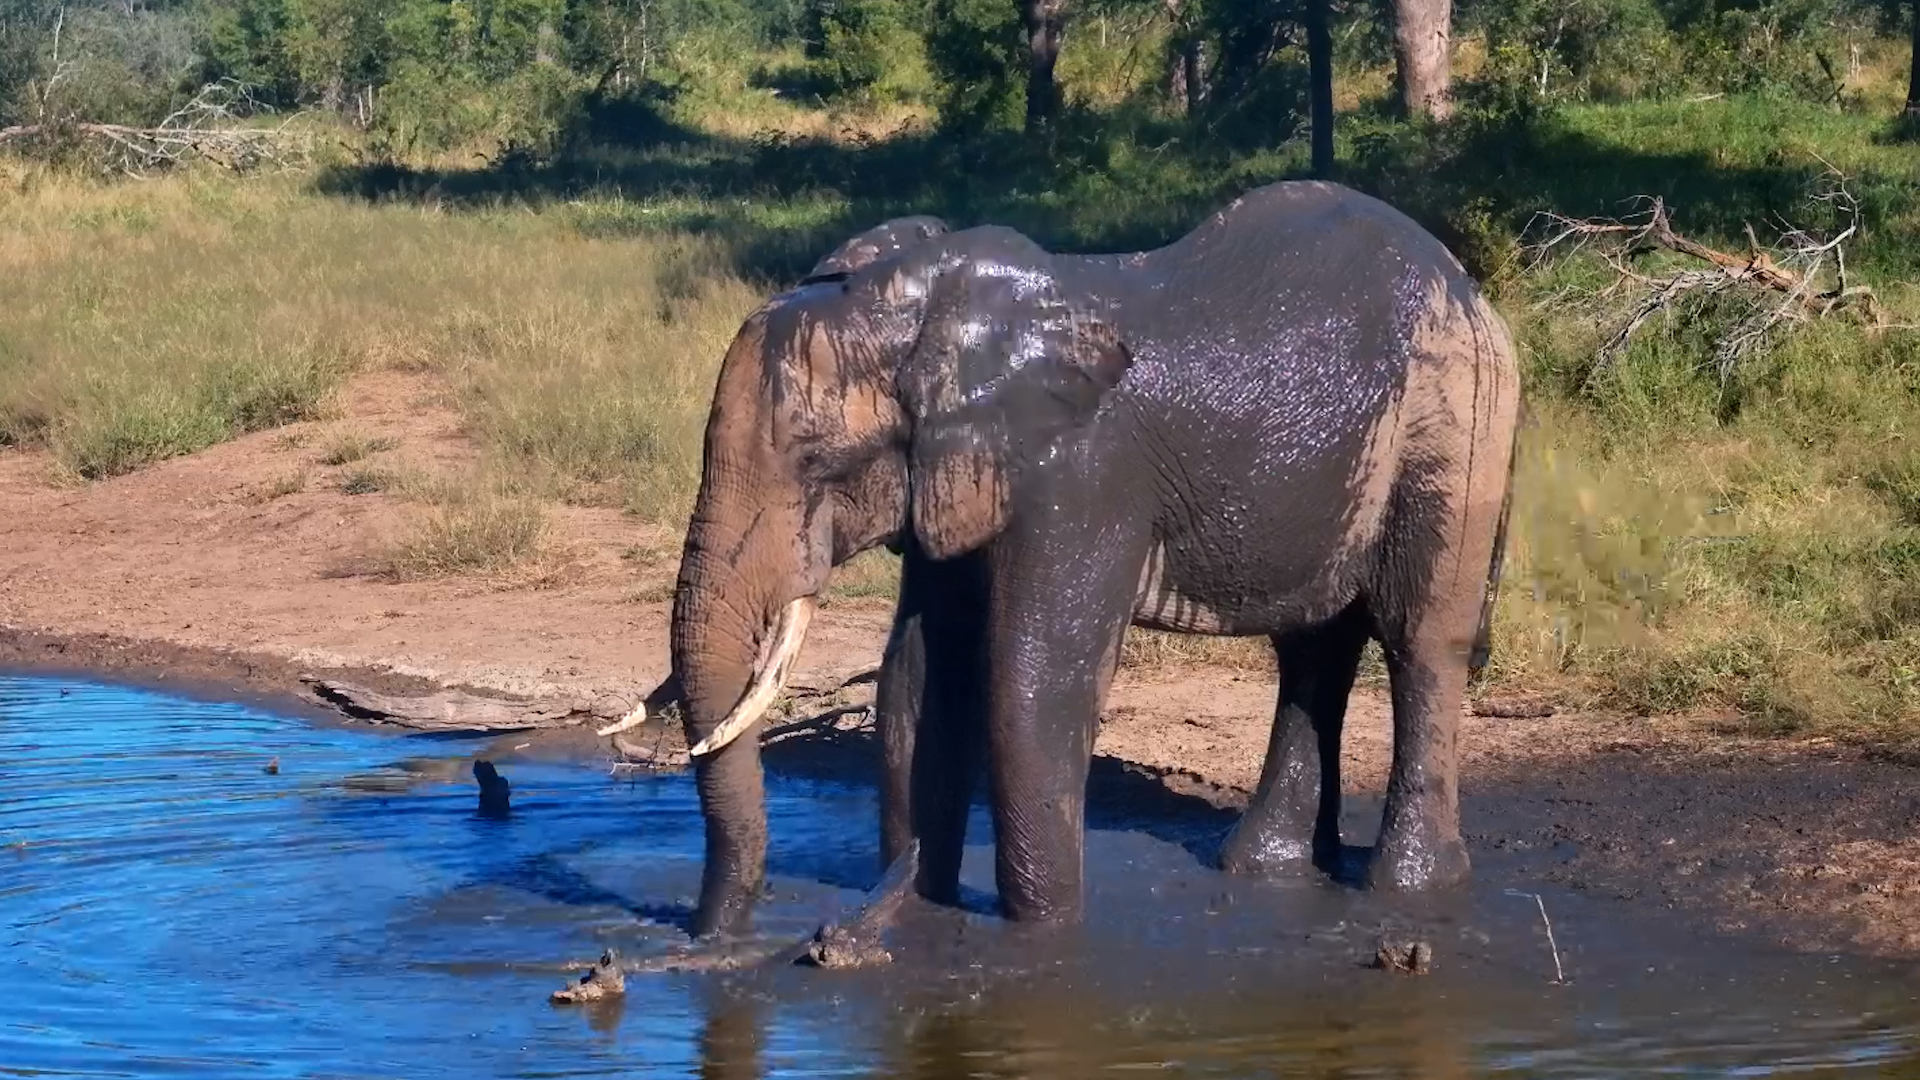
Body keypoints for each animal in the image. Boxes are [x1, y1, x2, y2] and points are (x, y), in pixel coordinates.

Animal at [661, 180, 1522, 939]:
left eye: (813, 461)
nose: (712, 937)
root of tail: (1472, 291)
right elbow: (919, 672)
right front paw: (921, 909)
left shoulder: (1082, 474)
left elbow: (1034, 676)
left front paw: (1043, 938)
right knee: (1314, 649)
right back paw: (1264, 869)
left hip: (1456, 424)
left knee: (1420, 643)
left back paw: (1408, 887)